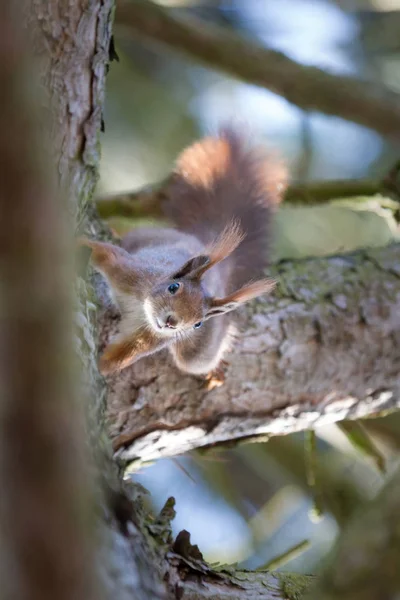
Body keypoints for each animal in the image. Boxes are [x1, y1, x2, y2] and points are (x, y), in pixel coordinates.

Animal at [82, 128, 288, 382]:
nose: (172, 322)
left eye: (198, 323)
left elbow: (120, 357)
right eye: (173, 287)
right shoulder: (130, 271)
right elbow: (101, 252)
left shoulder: (151, 338)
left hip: (197, 353)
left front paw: (100, 369)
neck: (142, 306)